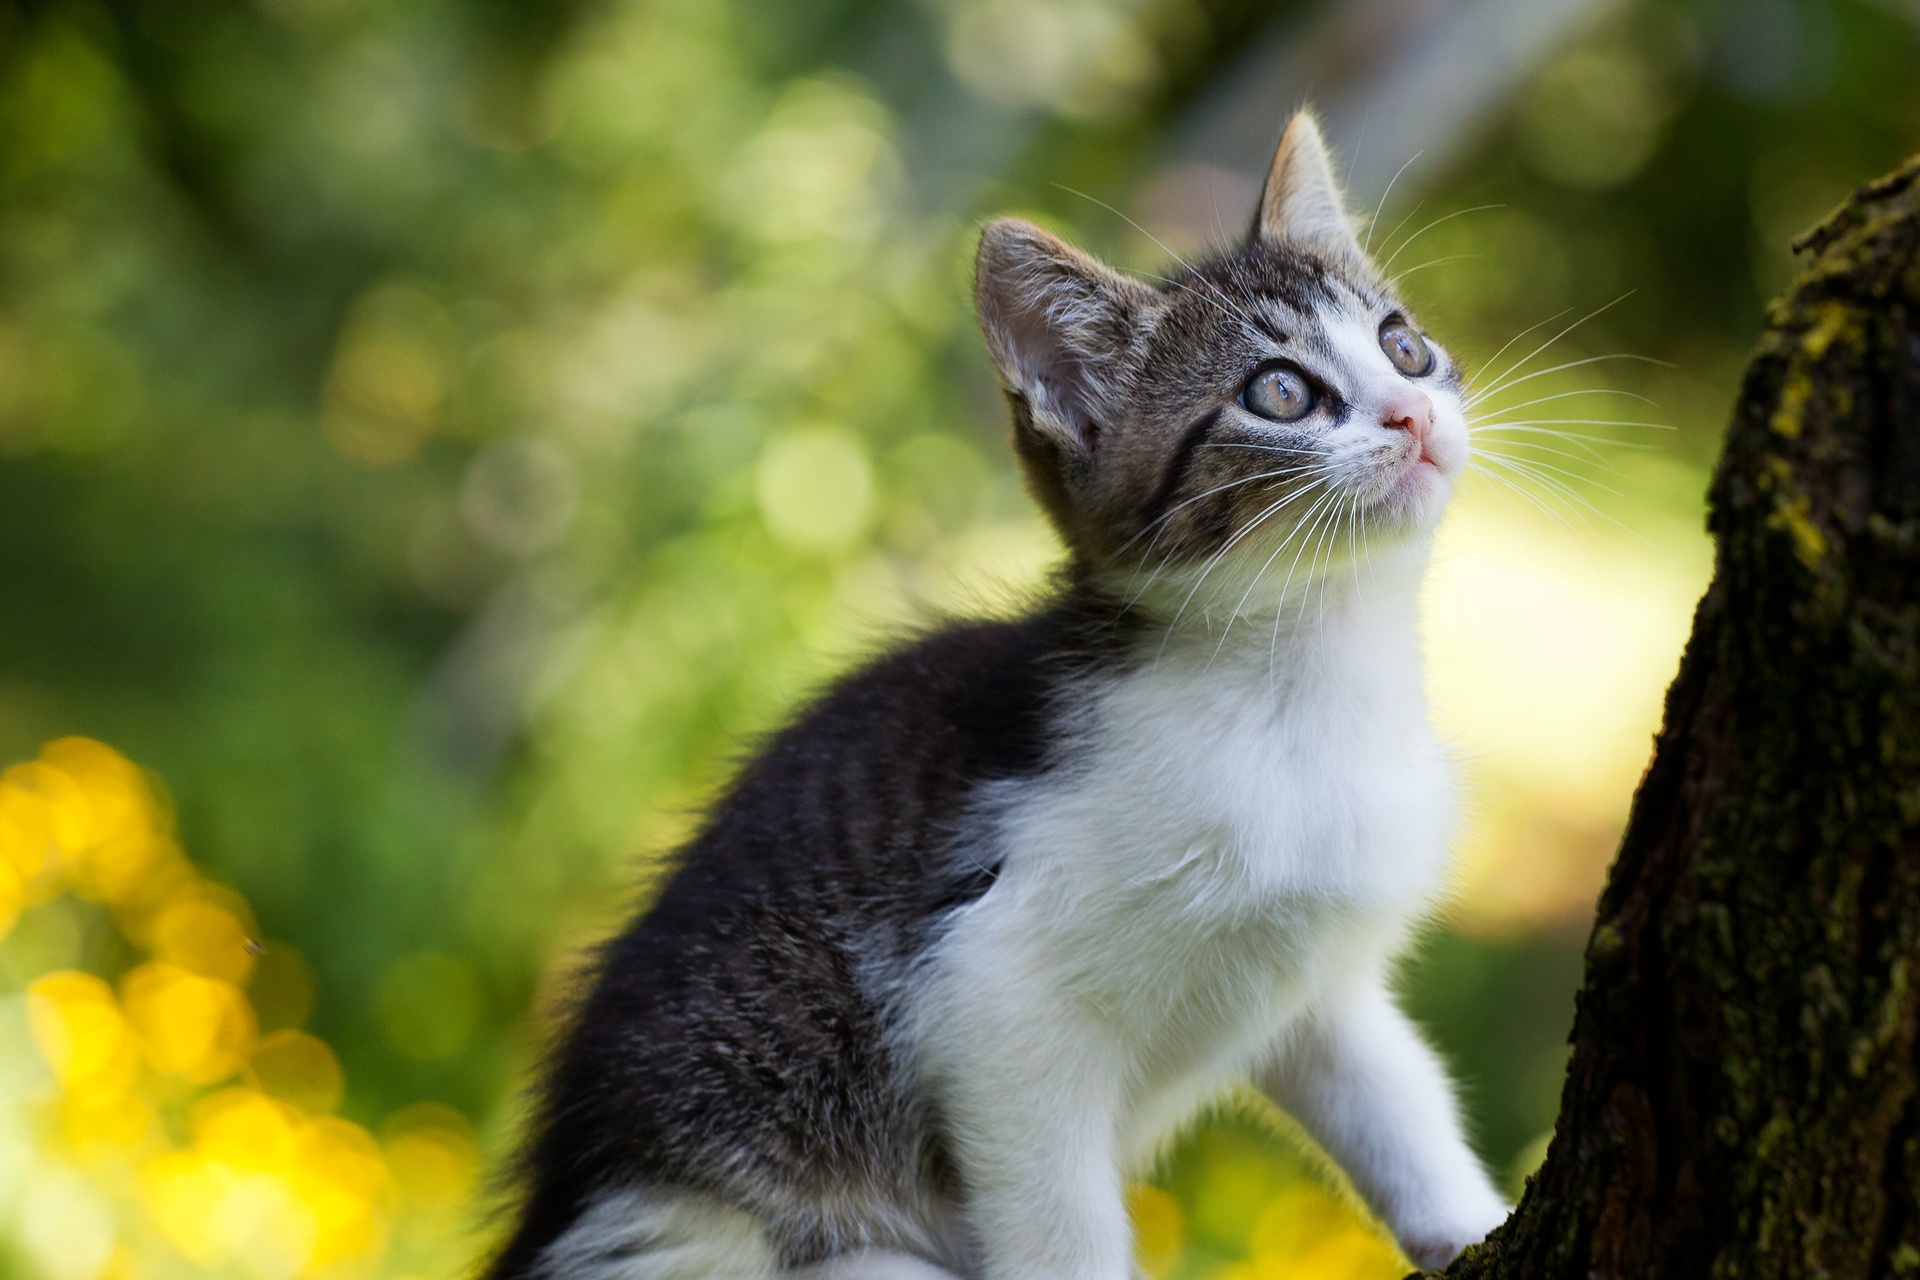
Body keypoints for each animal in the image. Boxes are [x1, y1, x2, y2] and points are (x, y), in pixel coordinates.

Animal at [491, 110, 1512, 1280]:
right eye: (1281, 392)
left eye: (1403, 344)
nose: (1412, 413)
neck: (1313, 677)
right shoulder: (992, 994)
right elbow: (1058, 1219)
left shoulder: (1317, 980)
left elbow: (1391, 1092)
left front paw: (1464, 1214)